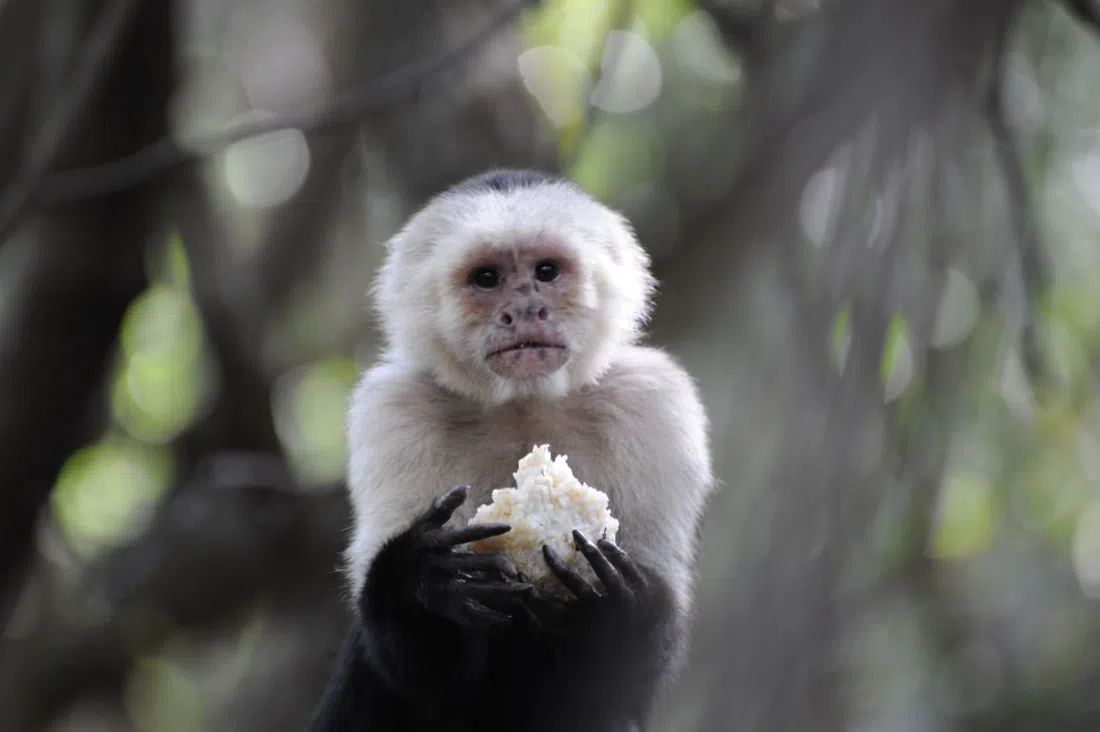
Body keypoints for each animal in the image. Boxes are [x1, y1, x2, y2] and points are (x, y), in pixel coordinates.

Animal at [307, 169, 714, 732]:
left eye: (546, 271)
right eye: (486, 278)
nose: (524, 309)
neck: (525, 402)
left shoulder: (654, 404)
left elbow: (631, 671)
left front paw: (619, 605)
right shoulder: (393, 411)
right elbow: (414, 667)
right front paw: (423, 578)